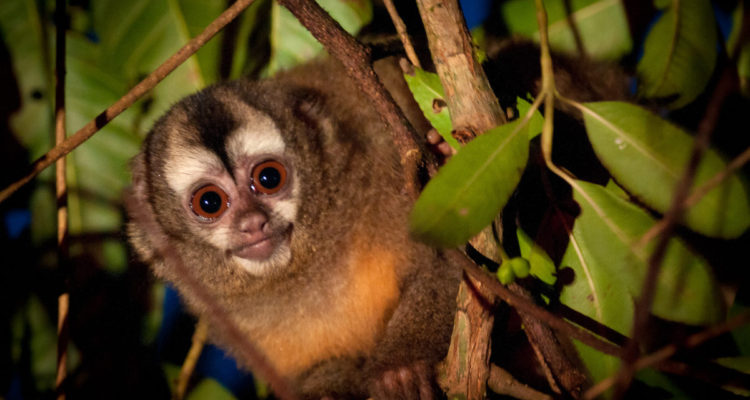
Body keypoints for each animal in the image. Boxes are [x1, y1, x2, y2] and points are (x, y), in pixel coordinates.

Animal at [124, 58, 462, 399]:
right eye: (209, 202)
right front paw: (327, 389)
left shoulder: (388, 171)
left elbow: (446, 267)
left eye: (269, 178)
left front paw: (402, 367)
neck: (304, 269)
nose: (252, 222)